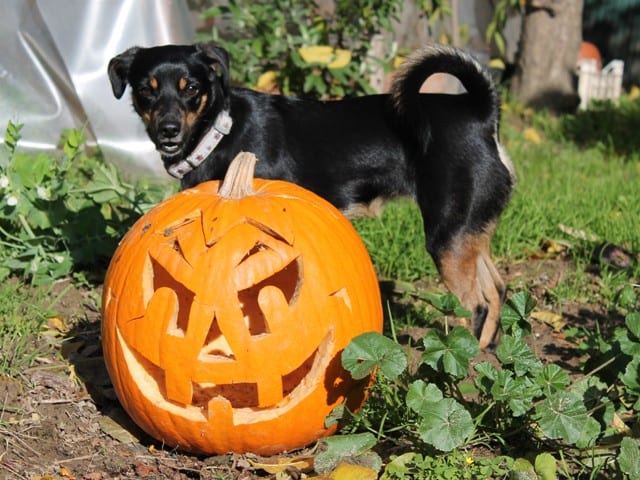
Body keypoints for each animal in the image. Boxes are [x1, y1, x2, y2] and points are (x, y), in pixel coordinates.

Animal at [108, 42, 515, 349]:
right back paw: (489, 354)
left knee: (476, 304)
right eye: (146, 89)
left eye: (191, 87)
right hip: (467, 231)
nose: (168, 130)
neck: (217, 132)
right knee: (497, 289)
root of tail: (480, 112)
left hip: (447, 235)